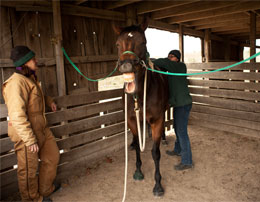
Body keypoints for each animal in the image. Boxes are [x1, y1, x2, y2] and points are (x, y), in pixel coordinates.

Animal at [113, 20, 169, 196]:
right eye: (117, 44)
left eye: (143, 42)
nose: (126, 66)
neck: (139, 95)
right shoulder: (132, 120)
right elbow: (138, 146)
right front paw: (138, 171)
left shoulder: (157, 120)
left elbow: (155, 153)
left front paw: (158, 184)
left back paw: (164, 138)